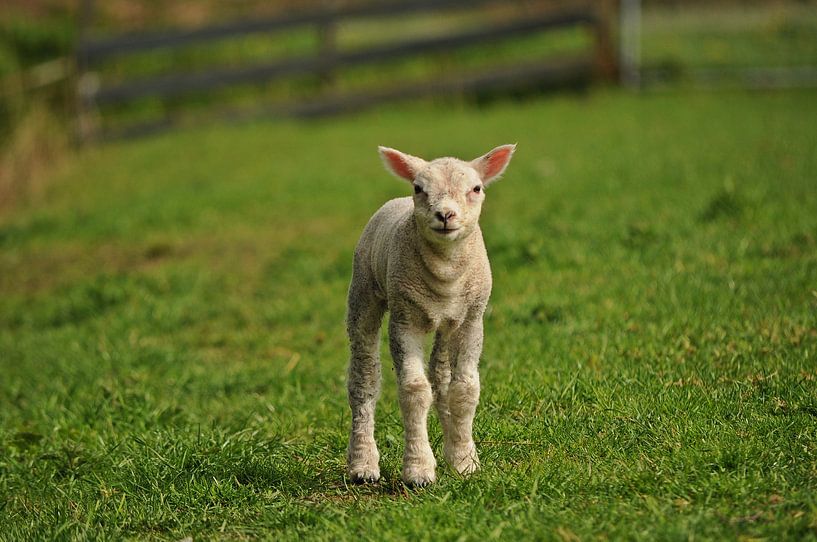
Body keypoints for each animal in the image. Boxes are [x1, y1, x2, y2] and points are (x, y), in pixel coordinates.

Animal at [346, 144, 512, 488]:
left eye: (476, 189)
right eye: (419, 188)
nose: (445, 215)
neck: (446, 271)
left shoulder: (472, 319)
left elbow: (464, 390)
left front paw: (464, 461)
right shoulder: (404, 319)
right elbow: (414, 389)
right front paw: (419, 470)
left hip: (448, 323)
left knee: (441, 376)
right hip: (363, 290)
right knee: (364, 376)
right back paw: (363, 464)